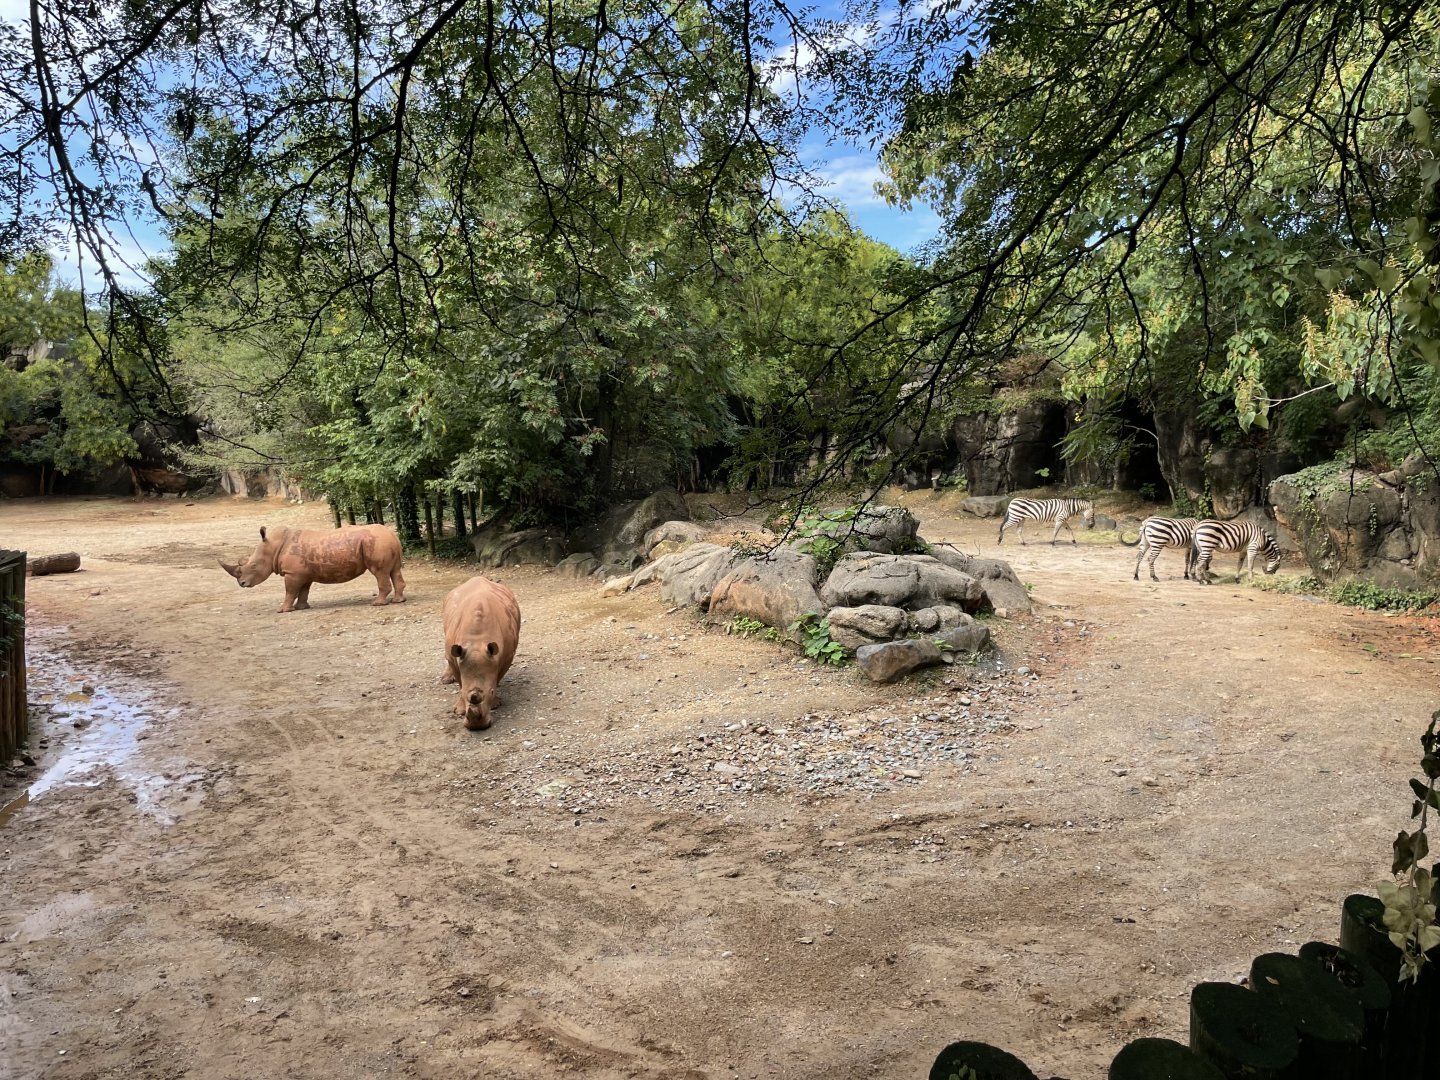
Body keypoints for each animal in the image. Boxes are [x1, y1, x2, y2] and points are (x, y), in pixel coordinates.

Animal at [220, 524, 407, 613]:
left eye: (253, 565)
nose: (242, 583)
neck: (273, 547)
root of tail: (392, 534)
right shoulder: (303, 573)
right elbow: (303, 591)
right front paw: (302, 608)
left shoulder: (292, 573)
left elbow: (290, 591)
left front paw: (283, 610)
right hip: (384, 542)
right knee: (394, 571)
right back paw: (398, 601)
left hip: (377, 543)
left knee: (380, 573)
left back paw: (377, 604)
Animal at [442, 576, 520, 730]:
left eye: (491, 692)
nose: (477, 727)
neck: (476, 641)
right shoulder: (456, 657)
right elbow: (460, 680)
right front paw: (459, 710)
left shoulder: (506, 656)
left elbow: (497, 676)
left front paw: (495, 704)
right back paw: (445, 680)